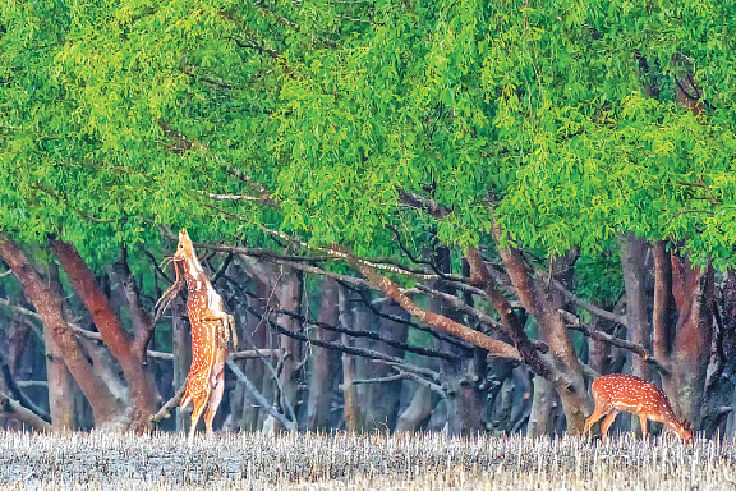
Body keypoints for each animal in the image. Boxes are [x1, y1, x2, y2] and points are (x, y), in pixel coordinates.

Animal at [158, 229, 239, 444]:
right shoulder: (203, 314)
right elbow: (225, 317)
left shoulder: (219, 305)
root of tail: (187, 392)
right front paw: (227, 336)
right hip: (201, 391)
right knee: (194, 416)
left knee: (207, 417)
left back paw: (210, 442)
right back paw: (190, 443)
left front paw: (231, 340)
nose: (182, 230)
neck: (203, 286)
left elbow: (230, 316)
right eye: (180, 245)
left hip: (217, 392)